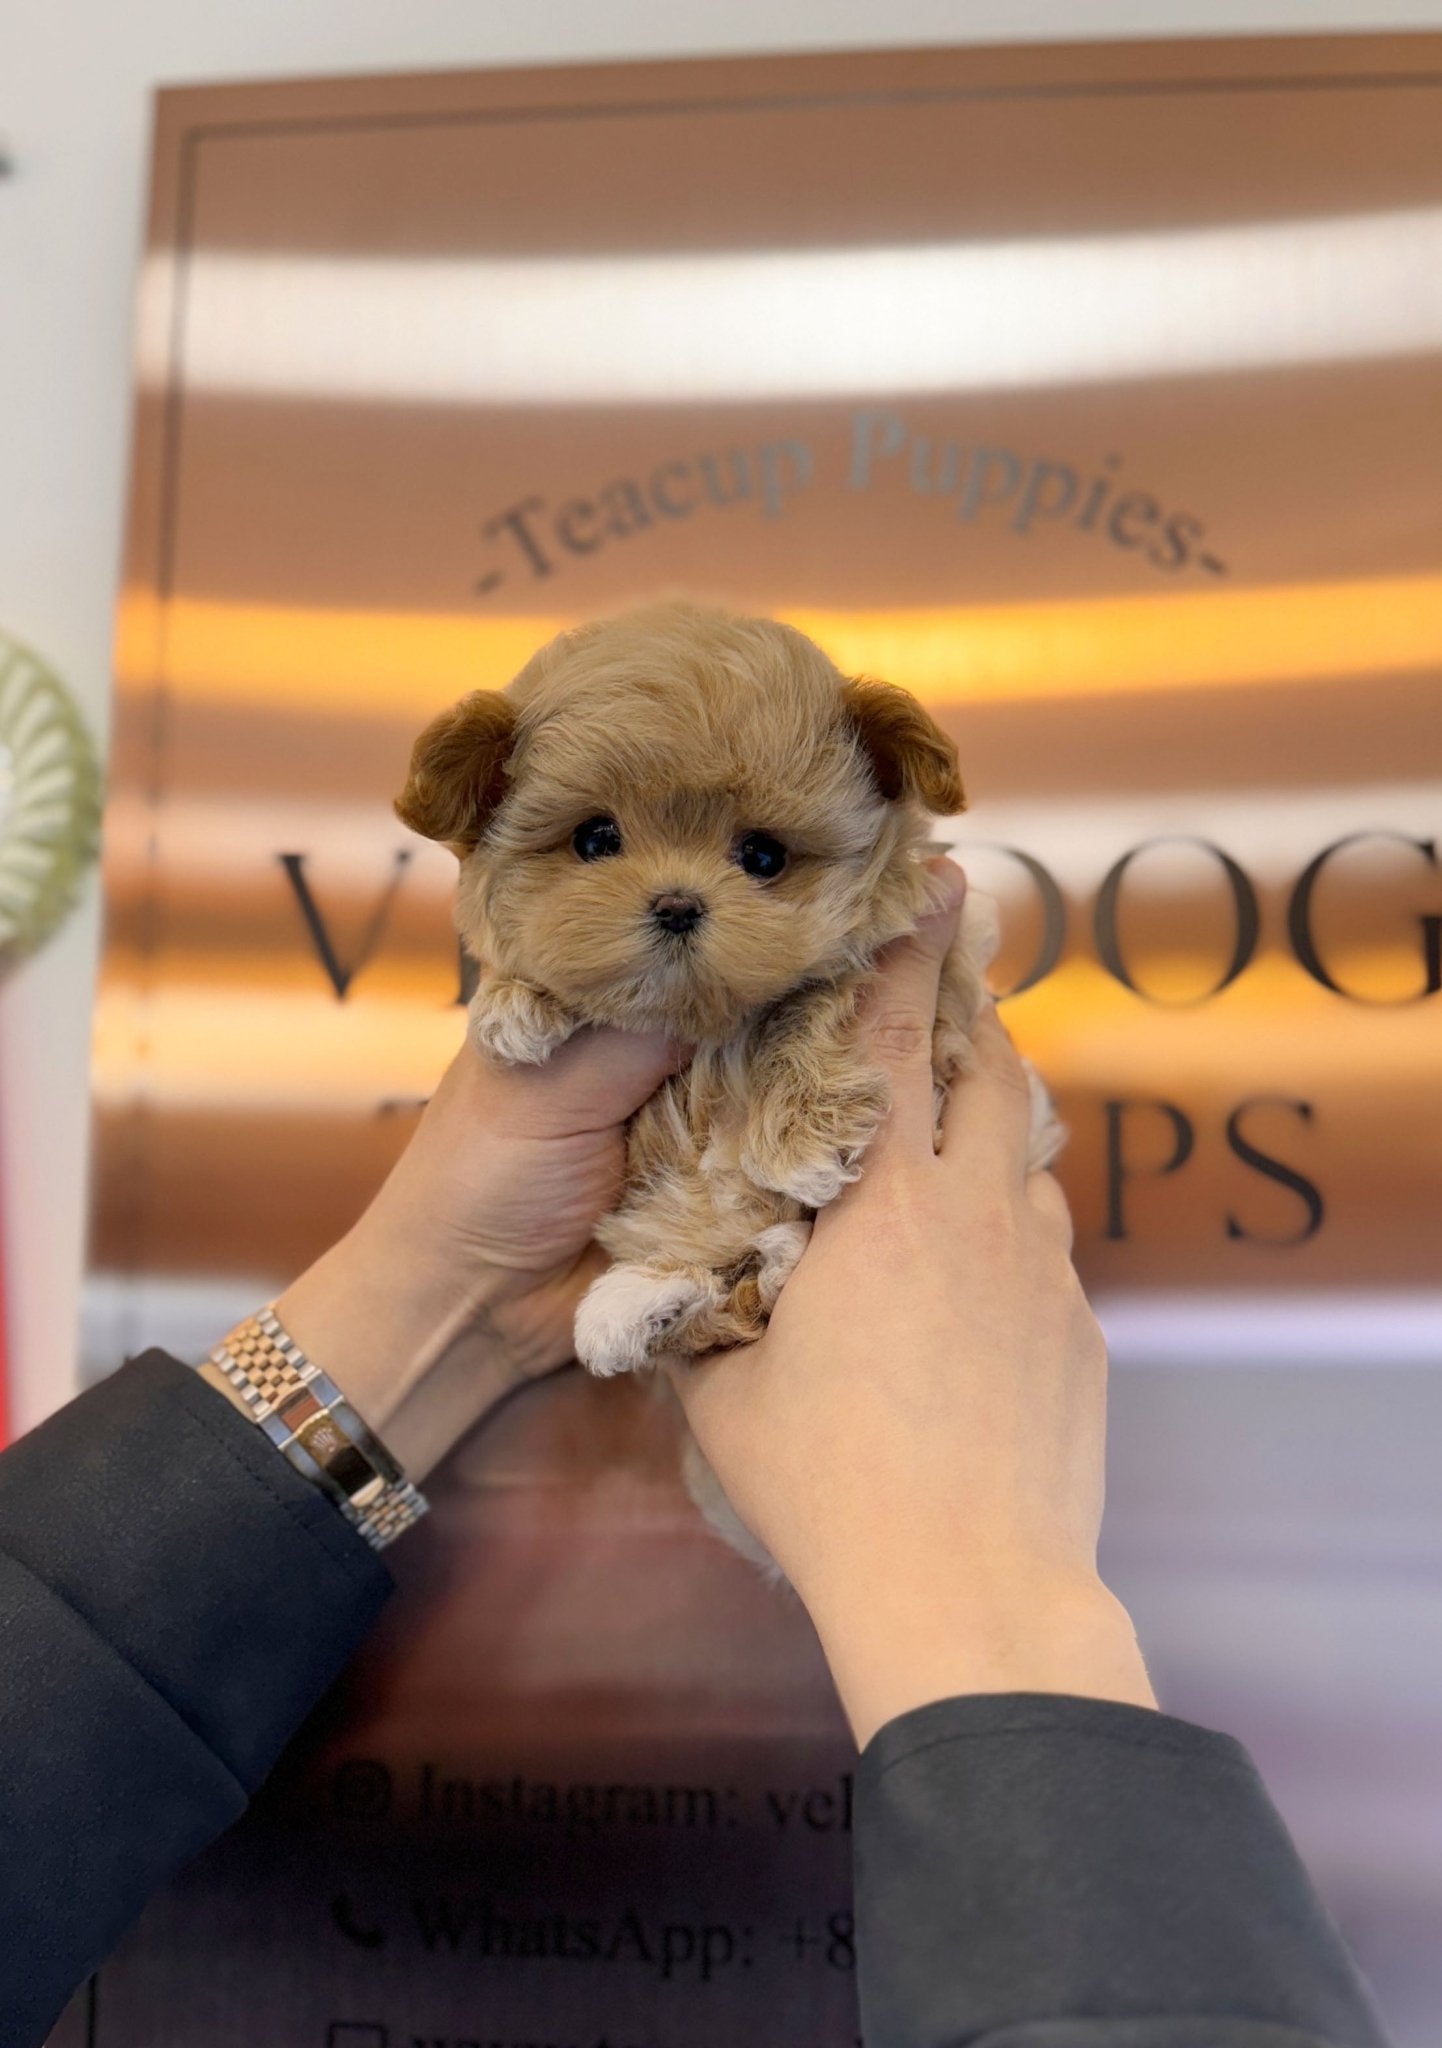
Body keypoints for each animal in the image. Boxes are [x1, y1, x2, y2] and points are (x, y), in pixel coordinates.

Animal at [393, 598, 1056, 1556]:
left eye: (765, 857)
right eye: (596, 838)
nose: (676, 903)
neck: (699, 1024)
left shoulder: (930, 976)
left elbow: (808, 1002)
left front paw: (800, 1135)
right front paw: (513, 1005)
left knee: (752, 1283)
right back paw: (636, 1311)